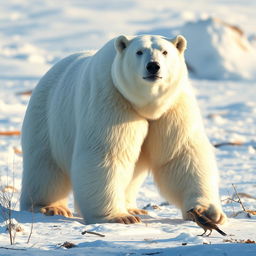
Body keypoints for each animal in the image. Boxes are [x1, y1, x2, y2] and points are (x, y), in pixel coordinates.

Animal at [20, 34, 226, 224]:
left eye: (165, 52)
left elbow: (182, 154)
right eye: (139, 52)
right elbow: (107, 153)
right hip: (46, 118)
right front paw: (120, 217)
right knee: (44, 167)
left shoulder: (174, 107)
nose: (153, 66)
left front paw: (207, 212)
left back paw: (133, 208)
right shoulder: (111, 98)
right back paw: (49, 207)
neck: (147, 106)